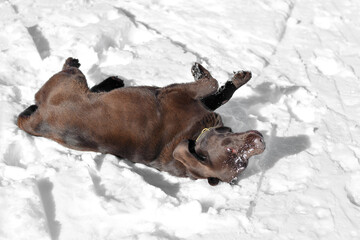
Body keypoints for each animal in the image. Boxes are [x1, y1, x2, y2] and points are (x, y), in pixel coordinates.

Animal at [17, 58, 264, 186]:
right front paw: (239, 78)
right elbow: (220, 92)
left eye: (241, 161)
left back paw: (90, 70)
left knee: (71, 70)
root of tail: (36, 121)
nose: (260, 143)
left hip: (72, 80)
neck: (193, 136)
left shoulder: (179, 94)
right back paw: (112, 81)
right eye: (234, 153)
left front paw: (201, 70)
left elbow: (211, 83)